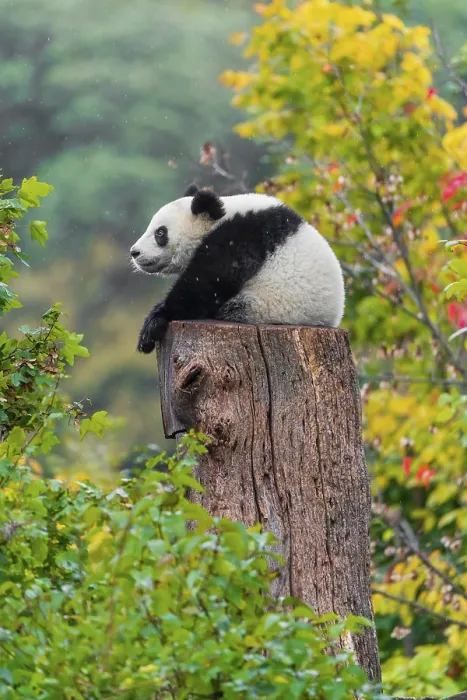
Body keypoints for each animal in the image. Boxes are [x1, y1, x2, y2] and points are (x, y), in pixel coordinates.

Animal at [130, 184, 345, 354]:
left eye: (160, 232)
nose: (135, 252)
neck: (221, 218)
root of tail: (331, 319)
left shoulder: (241, 236)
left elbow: (209, 281)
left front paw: (153, 324)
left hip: (269, 307)